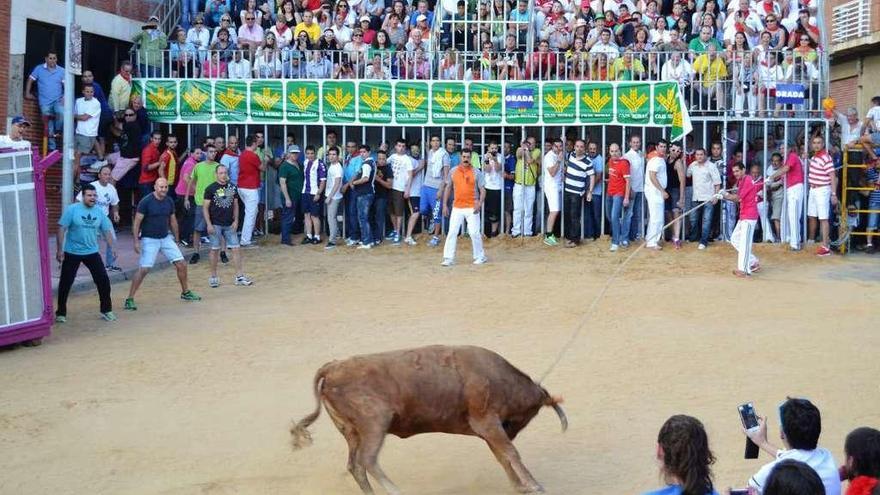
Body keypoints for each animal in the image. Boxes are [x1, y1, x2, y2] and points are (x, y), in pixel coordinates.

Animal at [288, 344, 564, 495]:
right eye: (530, 413)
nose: (513, 430)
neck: (500, 378)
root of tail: (332, 367)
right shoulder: (488, 422)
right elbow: (510, 453)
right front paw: (534, 485)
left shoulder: (487, 430)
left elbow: (502, 456)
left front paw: (520, 486)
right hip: (374, 424)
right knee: (367, 460)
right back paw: (395, 490)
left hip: (351, 432)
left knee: (354, 465)